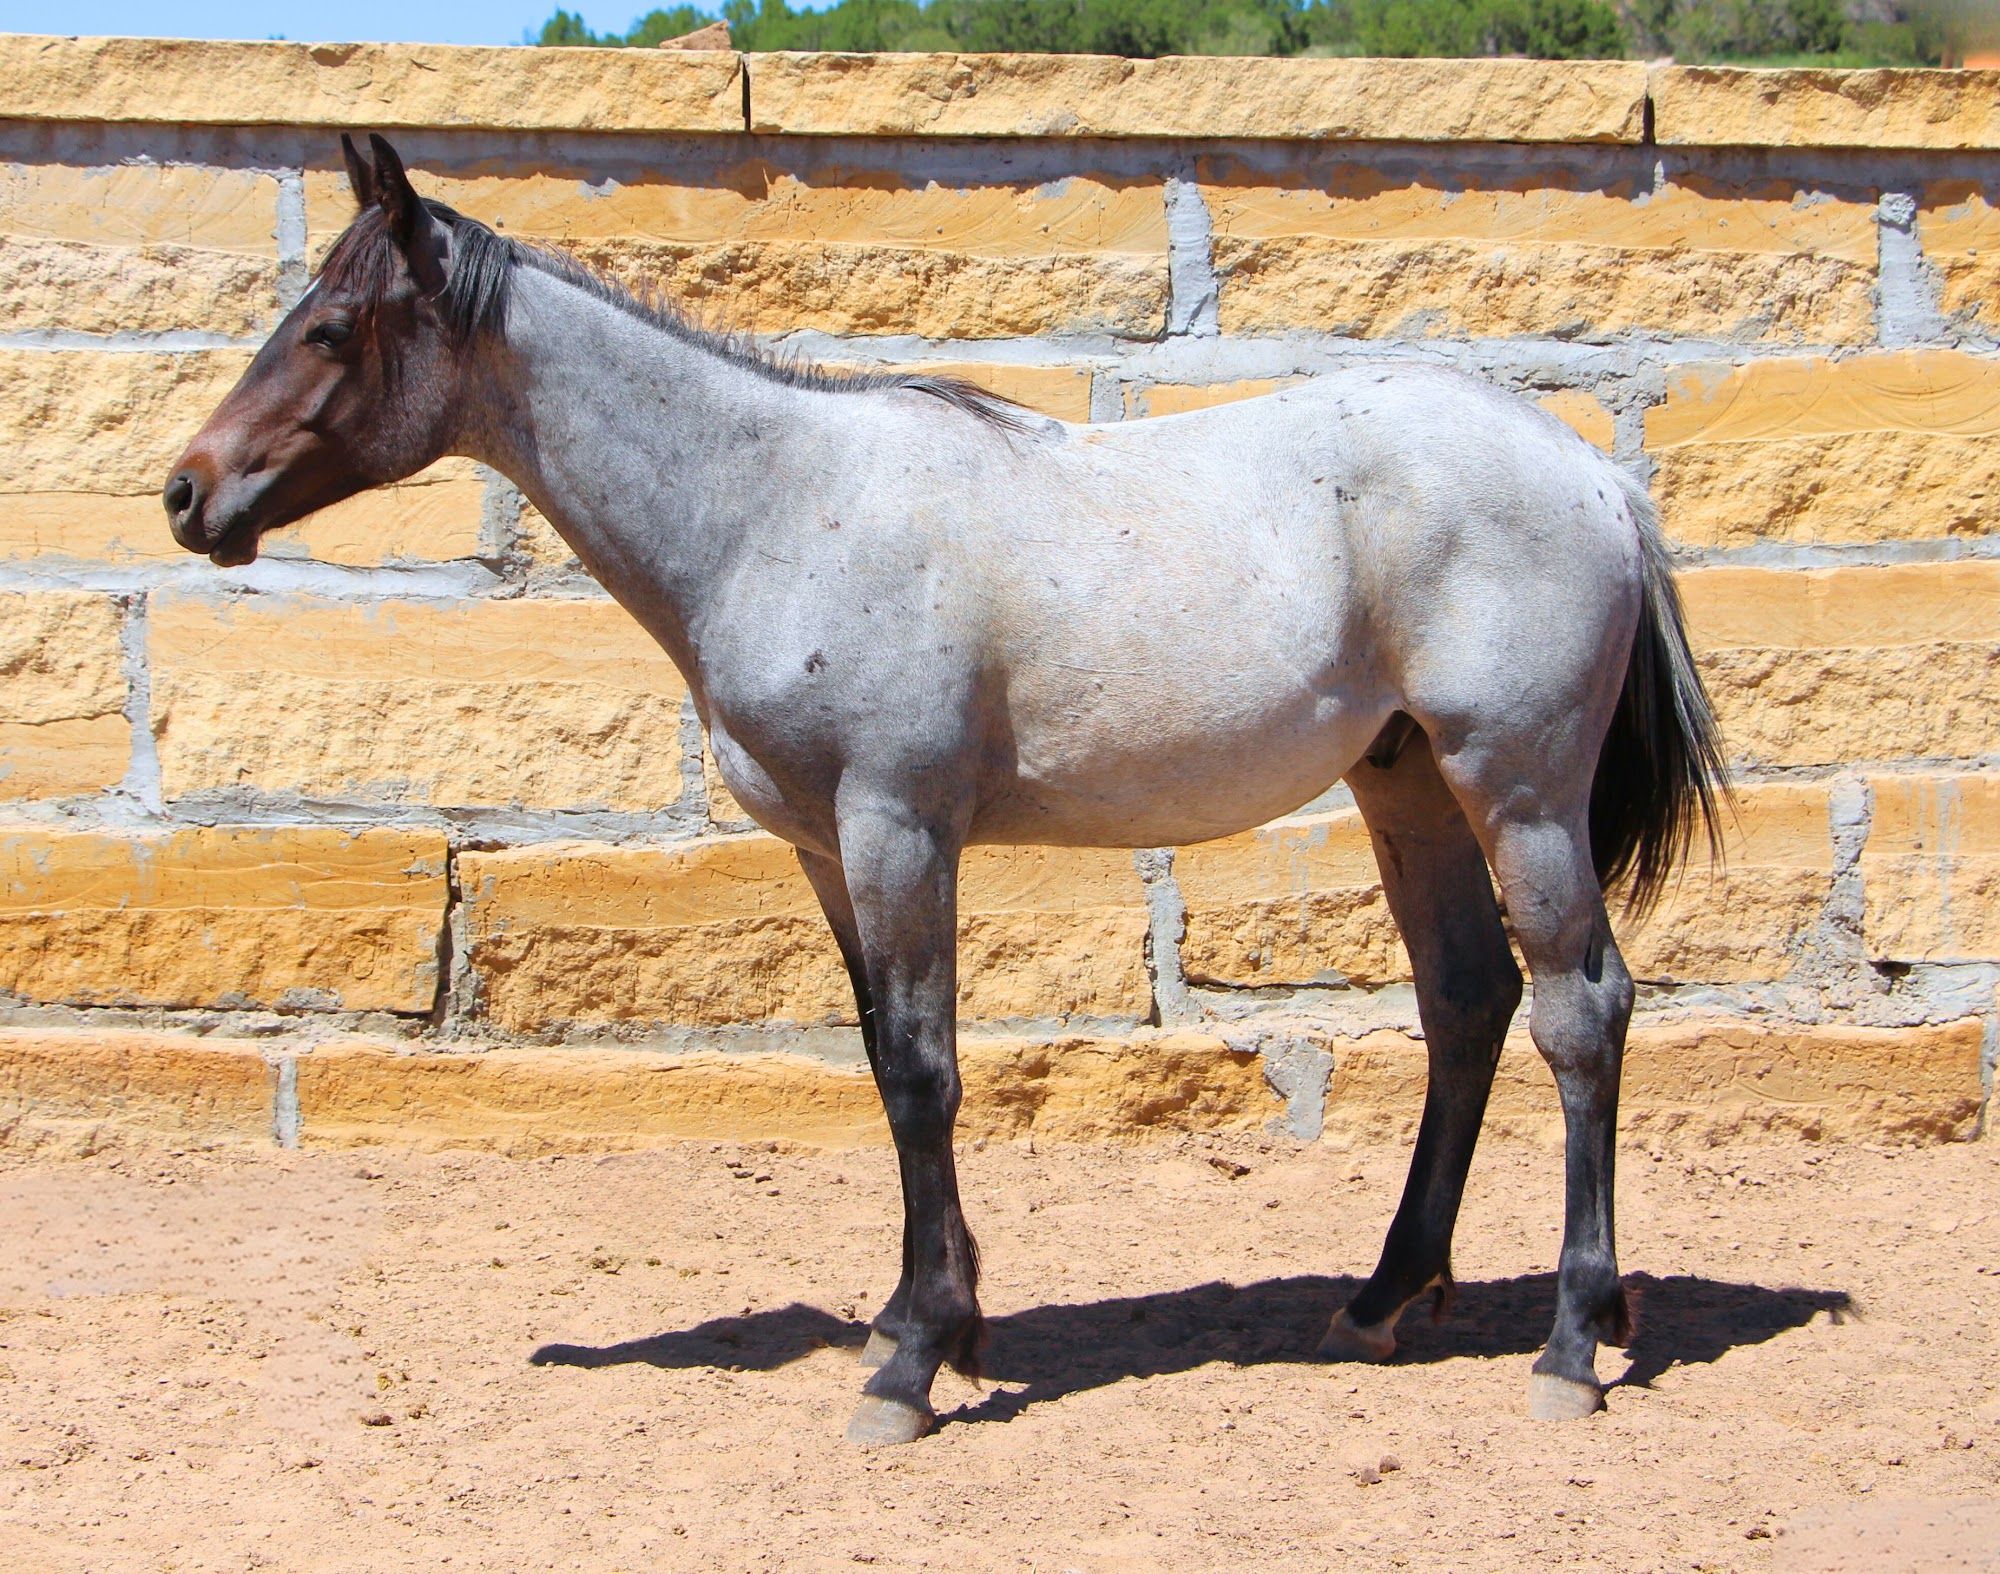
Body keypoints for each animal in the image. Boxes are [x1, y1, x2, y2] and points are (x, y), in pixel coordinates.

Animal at [165, 134, 1727, 1446]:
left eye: (327, 328)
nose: (187, 493)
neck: (774, 506)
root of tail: (1595, 480)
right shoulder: (825, 850)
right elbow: (880, 1059)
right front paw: (934, 1320)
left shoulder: (897, 827)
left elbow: (923, 1073)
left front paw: (912, 1365)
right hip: (1405, 787)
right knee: (1466, 999)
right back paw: (1386, 1297)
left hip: (1515, 789)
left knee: (1581, 1009)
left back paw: (1573, 1343)